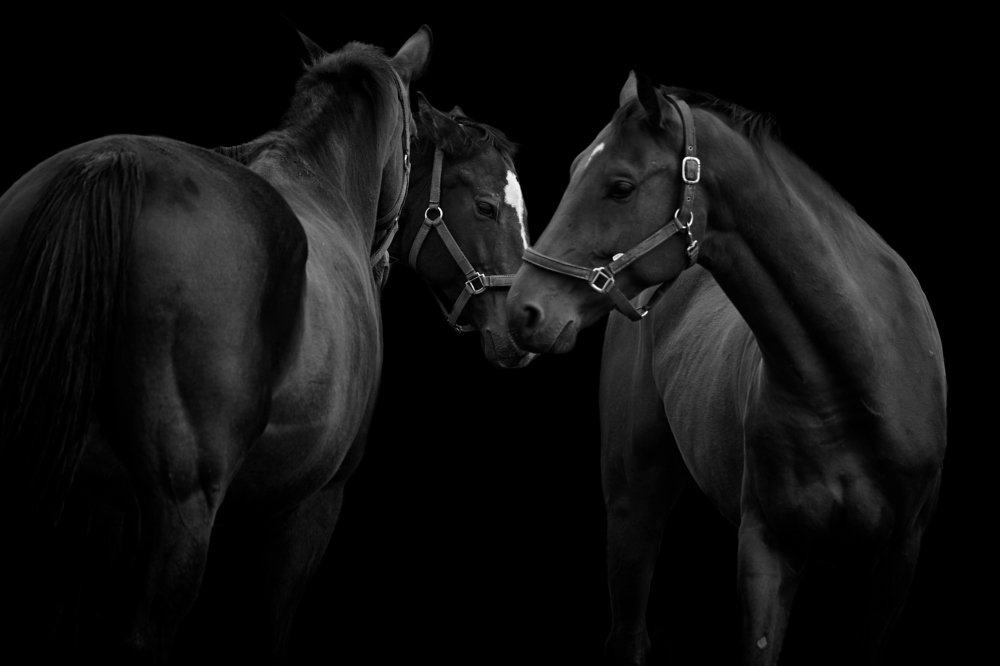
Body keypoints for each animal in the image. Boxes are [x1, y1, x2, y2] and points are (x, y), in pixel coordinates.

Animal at [0, 25, 431, 664]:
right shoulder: (311, 506)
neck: (321, 183)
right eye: (414, 139)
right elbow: (268, 628)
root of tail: (110, 162)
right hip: (183, 511)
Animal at [506, 71, 946, 665]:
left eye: (620, 186)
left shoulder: (897, 558)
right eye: (575, 168)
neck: (856, 382)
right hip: (632, 501)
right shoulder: (767, 547)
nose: (521, 311)